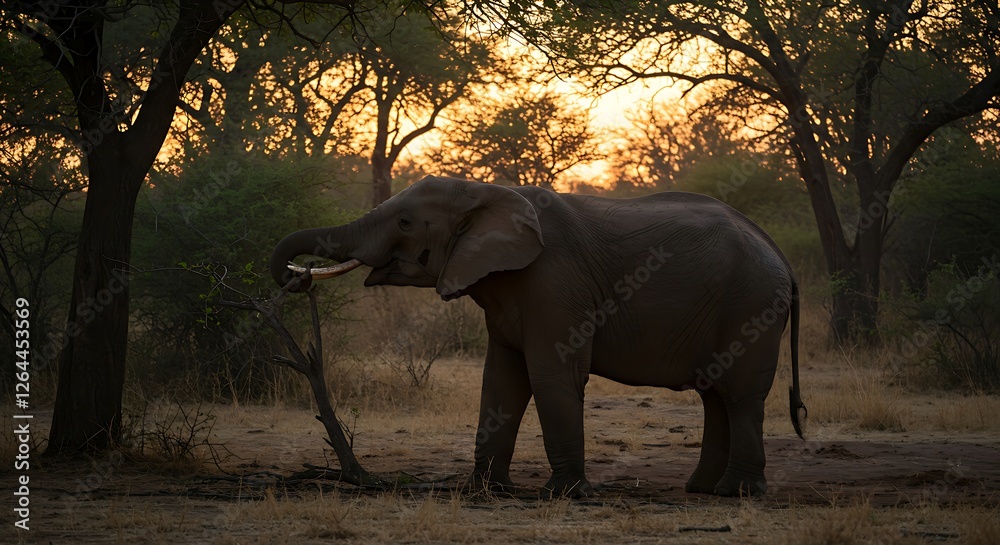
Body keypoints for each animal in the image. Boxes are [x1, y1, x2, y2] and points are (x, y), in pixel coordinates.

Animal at [269, 176, 806, 497]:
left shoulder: (555, 283)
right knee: (715, 395)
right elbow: (500, 381)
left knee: (739, 396)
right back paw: (700, 490)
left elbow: (552, 376)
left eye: (404, 222)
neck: (482, 191)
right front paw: (485, 490)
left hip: (751, 304)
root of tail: (781, 256)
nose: (298, 279)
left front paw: (563, 494)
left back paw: (736, 493)